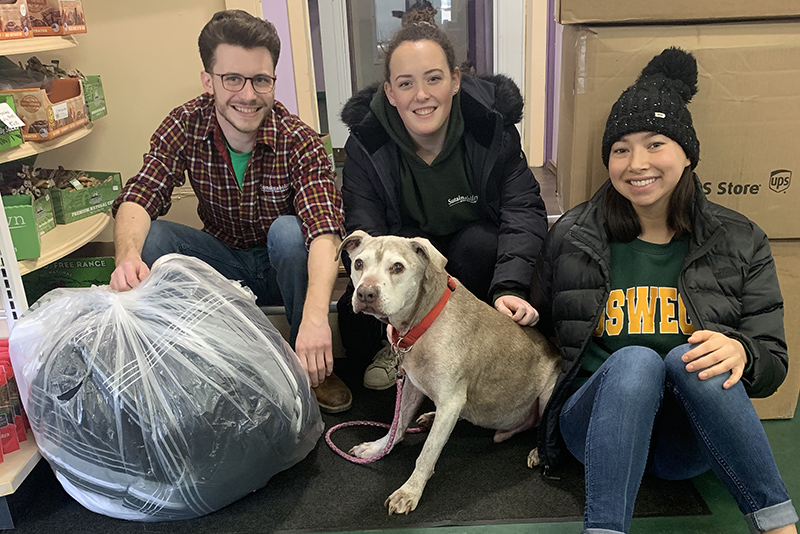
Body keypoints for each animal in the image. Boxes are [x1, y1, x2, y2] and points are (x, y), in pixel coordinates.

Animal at [334, 232, 560, 516]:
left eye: (397, 267)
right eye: (359, 264)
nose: (365, 293)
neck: (423, 321)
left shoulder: (451, 398)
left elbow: (428, 451)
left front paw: (410, 491)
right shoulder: (412, 386)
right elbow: (399, 423)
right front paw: (379, 447)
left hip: (549, 391)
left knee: (545, 424)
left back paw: (539, 451)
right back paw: (431, 417)